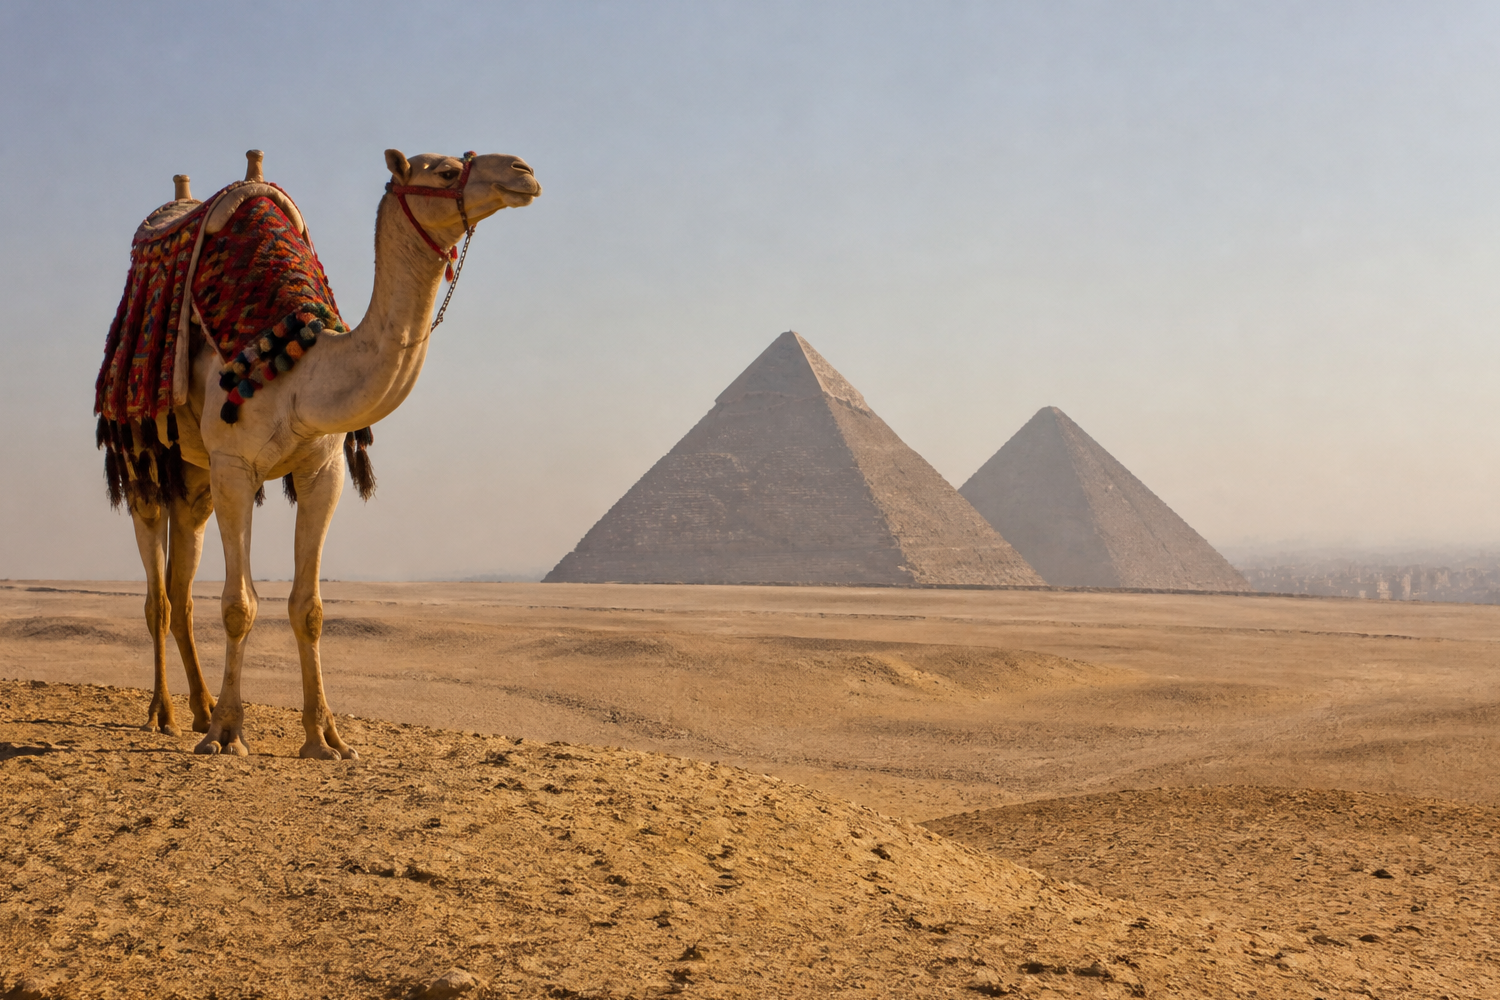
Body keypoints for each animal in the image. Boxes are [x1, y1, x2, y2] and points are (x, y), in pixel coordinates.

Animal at [119, 147, 540, 758]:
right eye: (442, 170)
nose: (522, 171)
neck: (301, 372)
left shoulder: (324, 470)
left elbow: (309, 607)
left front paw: (326, 738)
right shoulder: (235, 468)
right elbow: (239, 605)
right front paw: (229, 733)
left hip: (194, 477)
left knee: (181, 587)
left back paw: (197, 709)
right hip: (146, 456)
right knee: (160, 594)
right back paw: (165, 714)